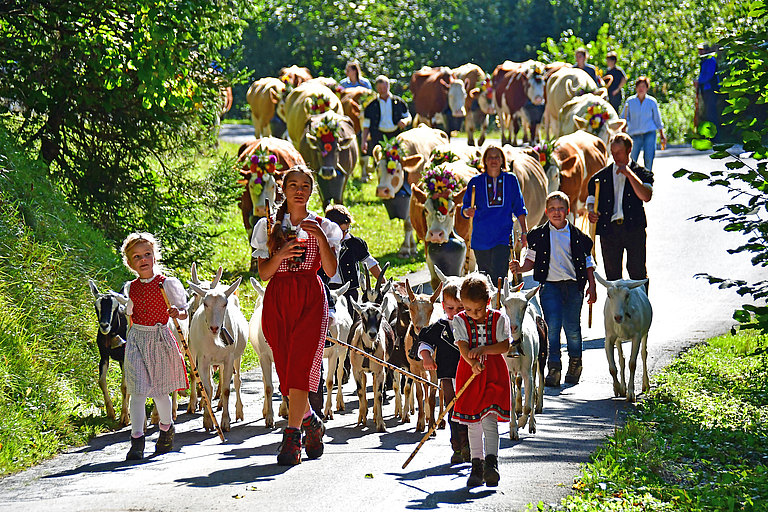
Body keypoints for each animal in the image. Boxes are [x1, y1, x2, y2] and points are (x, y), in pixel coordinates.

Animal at [188, 278, 246, 430]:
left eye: (224, 304)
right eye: (205, 304)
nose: (214, 327)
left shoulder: (229, 358)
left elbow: (226, 389)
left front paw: (225, 422)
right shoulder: (202, 359)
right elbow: (207, 390)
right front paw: (208, 421)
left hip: (236, 357)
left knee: (236, 381)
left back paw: (238, 412)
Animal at [249, 276, 288, 428]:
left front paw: (285, 410)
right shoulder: (264, 356)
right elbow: (268, 388)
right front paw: (270, 418)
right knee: (265, 381)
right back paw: (265, 411)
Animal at [504, 280, 544, 440]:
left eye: (524, 306)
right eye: (505, 305)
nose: (513, 327)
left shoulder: (527, 371)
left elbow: (528, 404)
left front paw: (521, 422)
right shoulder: (507, 370)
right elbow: (510, 400)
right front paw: (513, 428)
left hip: (535, 362)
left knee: (532, 394)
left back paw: (532, 424)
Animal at [592, 274, 656, 402]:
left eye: (627, 295)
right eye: (608, 295)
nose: (617, 317)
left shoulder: (637, 336)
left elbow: (632, 364)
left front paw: (631, 394)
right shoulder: (609, 337)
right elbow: (612, 367)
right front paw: (618, 389)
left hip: (645, 331)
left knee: (644, 354)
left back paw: (645, 385)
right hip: (618, 339)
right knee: (621, 359)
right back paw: (622, 387)